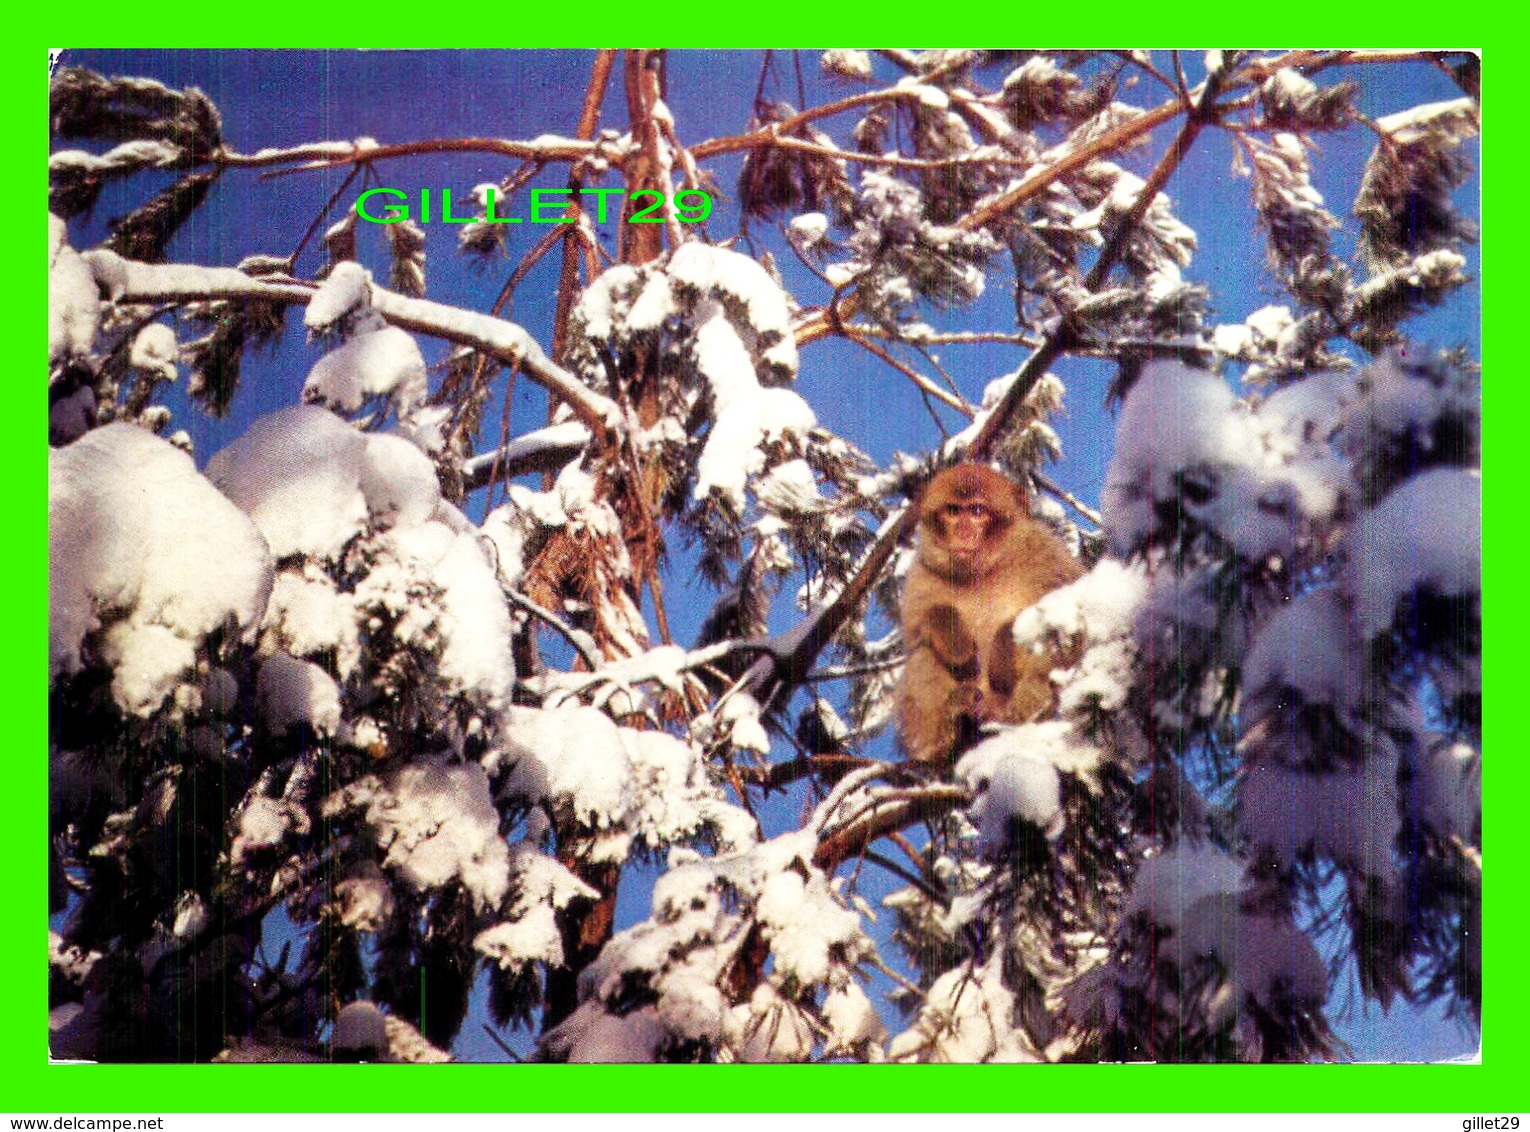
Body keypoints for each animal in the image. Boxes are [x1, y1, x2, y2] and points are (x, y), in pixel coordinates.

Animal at [893, 465, 1089, 764]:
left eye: (976, 511)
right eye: (953, 511)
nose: (963, 532)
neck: (984, 571)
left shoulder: (1046, 555)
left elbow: (1075, 628)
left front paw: (1004, 644)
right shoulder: (923, 573)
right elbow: (917, 630)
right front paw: (955, 643)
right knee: (925, 653)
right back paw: (939, 741)